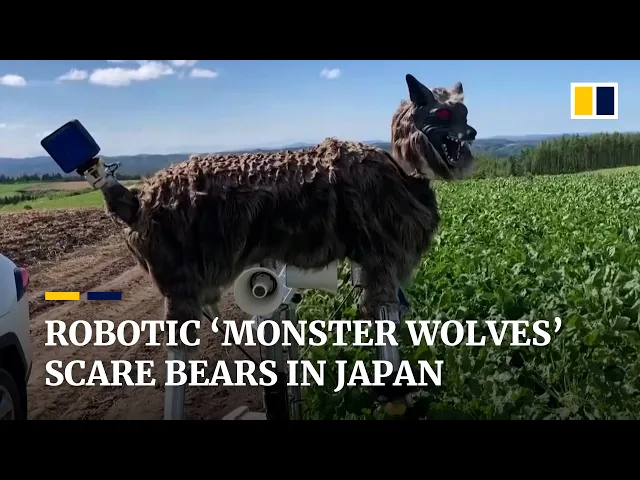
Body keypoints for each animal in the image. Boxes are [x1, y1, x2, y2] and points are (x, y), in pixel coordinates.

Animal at [102, 73, 477, 344]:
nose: (472, 132)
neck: (404, 173)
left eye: (465, 112)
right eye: (443, 113)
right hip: (178, 277)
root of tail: (136, 201)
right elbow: (381, 308)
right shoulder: (381, 254)